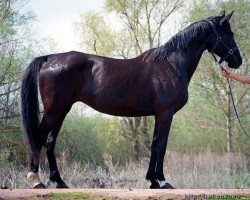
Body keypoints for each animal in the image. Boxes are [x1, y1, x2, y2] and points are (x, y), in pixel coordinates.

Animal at [22, 11, 242, 189]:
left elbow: (154, 145)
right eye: (229, 34)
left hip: (61, 111)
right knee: (38, 138)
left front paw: (152, 180)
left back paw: (59, 181)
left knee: (50, 142)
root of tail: (50, 58)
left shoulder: (158, 114)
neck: (171, 65)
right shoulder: (166, 113)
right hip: (55, 111)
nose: (238, 61)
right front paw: (163, 181)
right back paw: (36, 179)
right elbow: (162, 146)